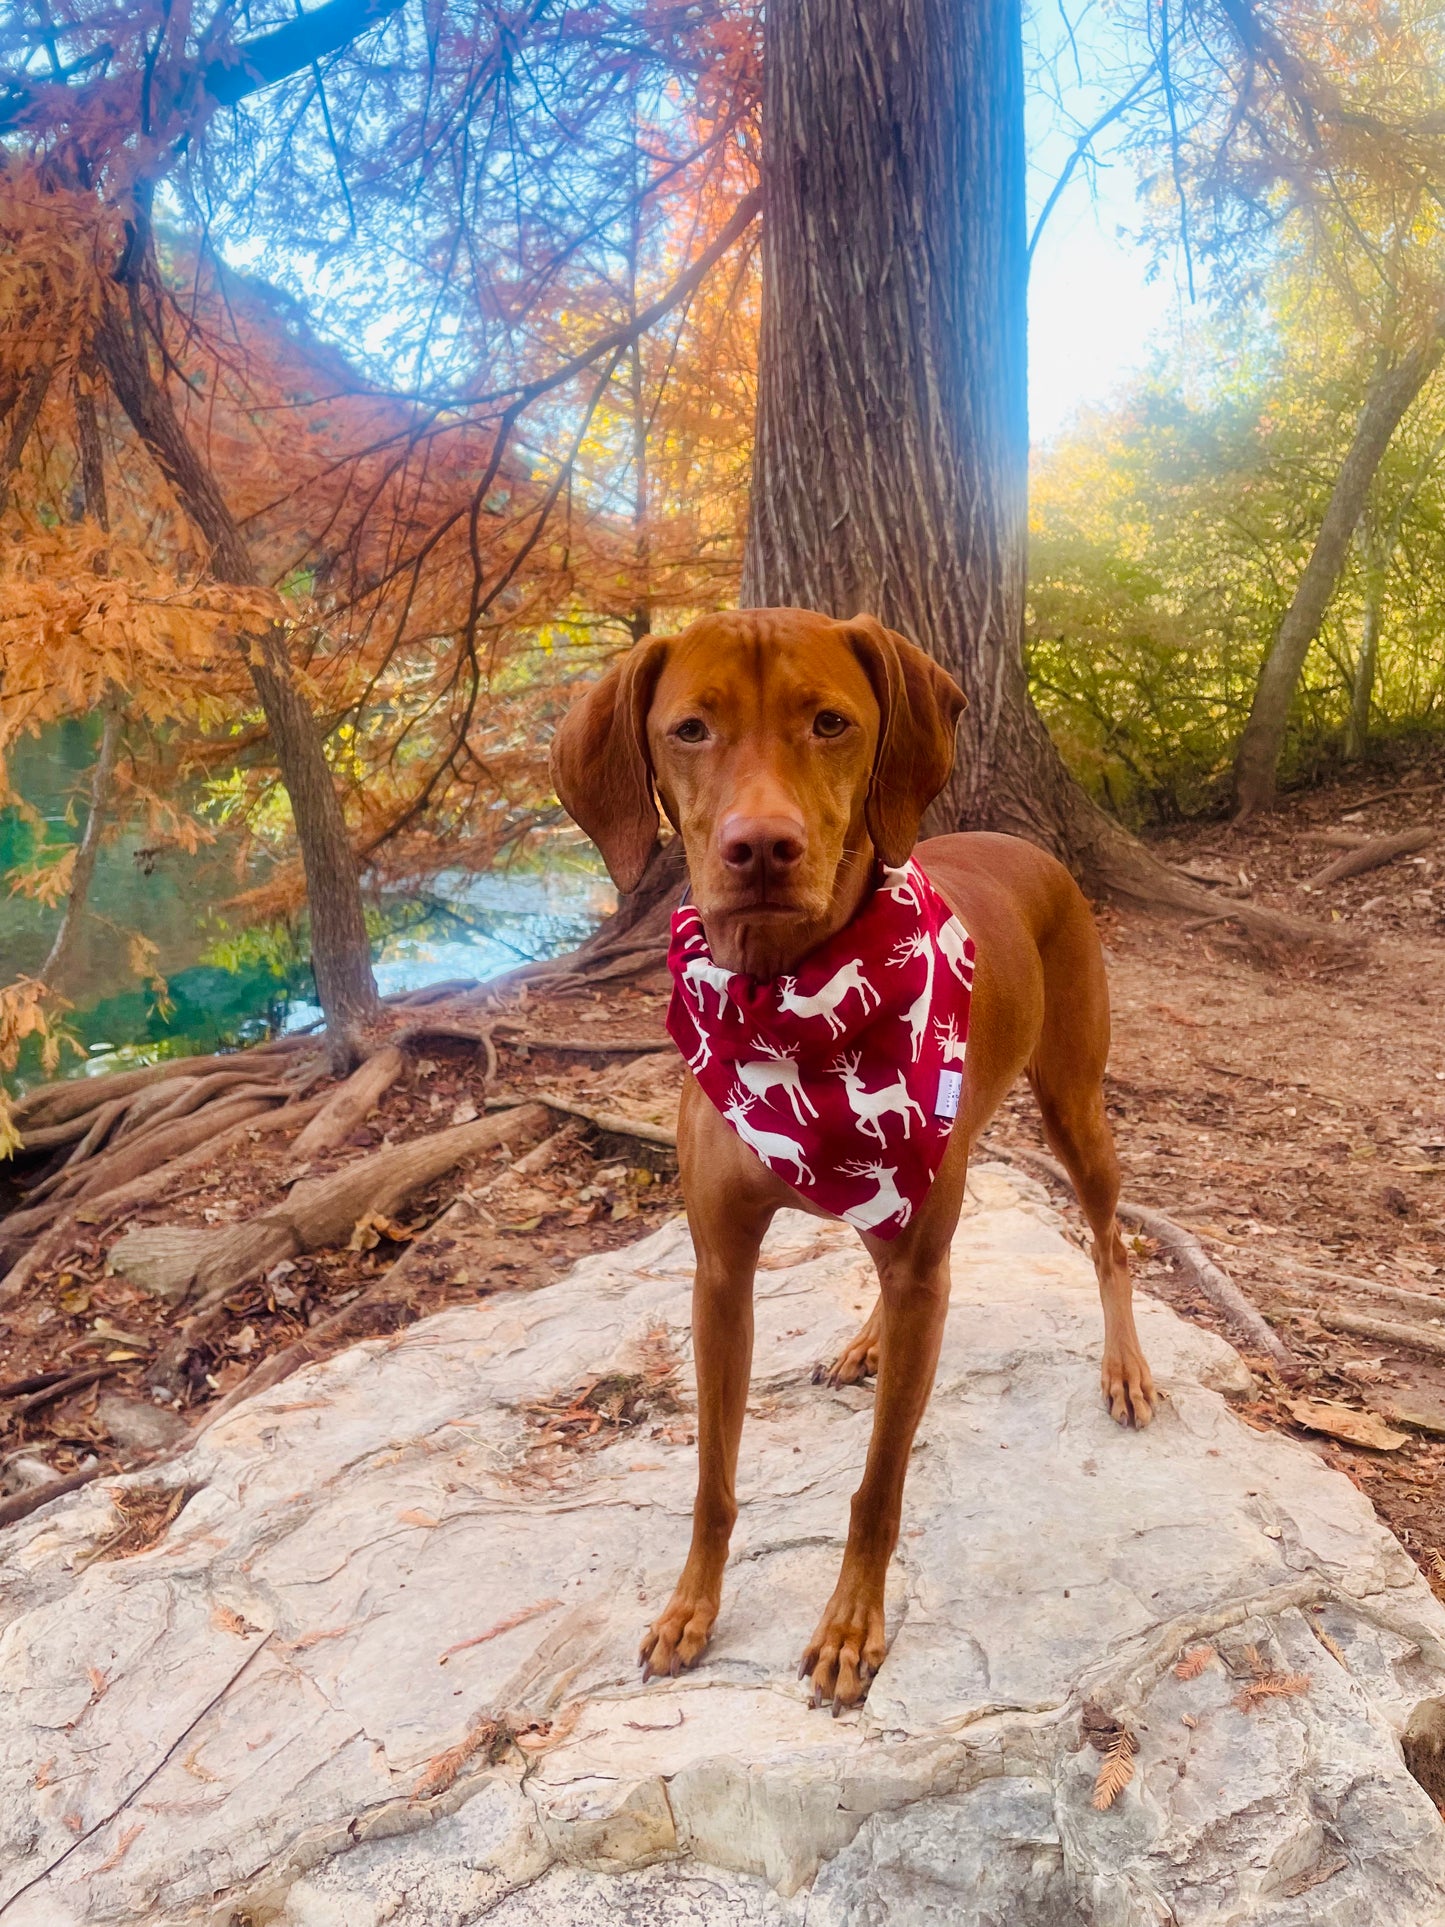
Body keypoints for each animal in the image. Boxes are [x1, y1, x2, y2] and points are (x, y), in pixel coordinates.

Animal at [547, 608, 1163, 1711]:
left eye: (829, 721)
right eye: (688, 728)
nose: (760, 847)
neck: (787, 997)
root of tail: (1024, 843)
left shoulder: (917, 1255)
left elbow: (878, 1482)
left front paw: (847, 1624)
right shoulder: (720, 1273)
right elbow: (711, 1476)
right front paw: (691, 1606)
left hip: (1071, 1105)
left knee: (1105, 1240)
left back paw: (1123, 1364)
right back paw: (869, 1337)